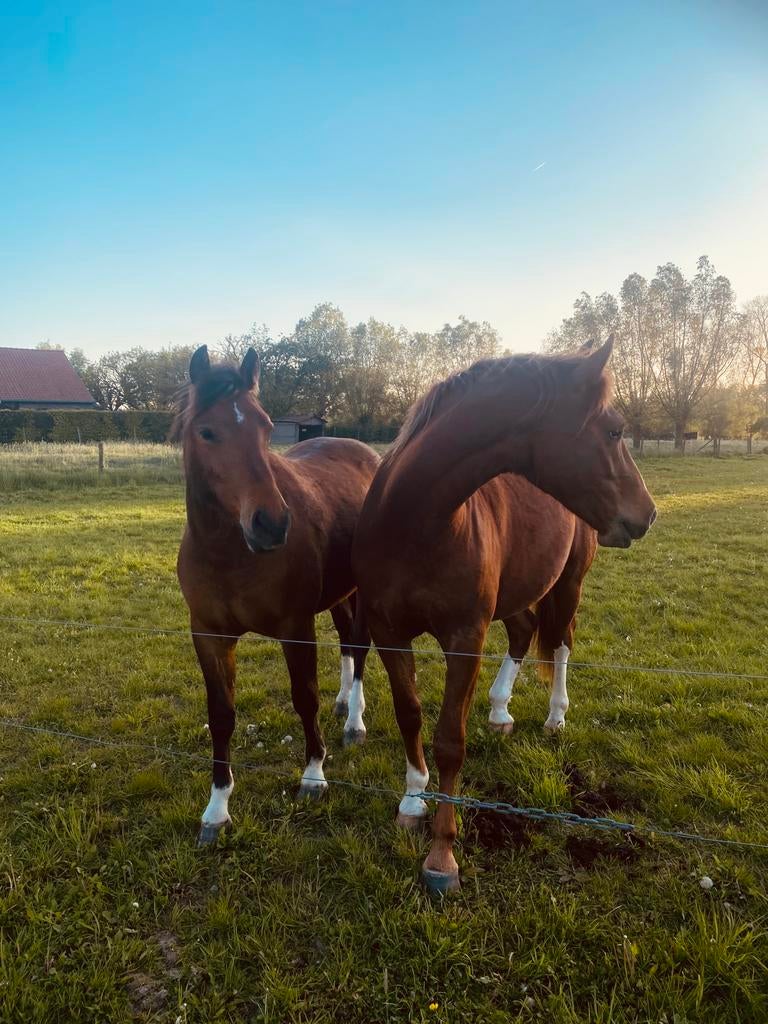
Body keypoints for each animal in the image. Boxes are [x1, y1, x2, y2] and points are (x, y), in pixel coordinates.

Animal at [174, 346, 379, 845]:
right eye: (207, 431)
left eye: (266, 427)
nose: (270, 523)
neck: (228, 554)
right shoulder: (208, 635)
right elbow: (221, 714)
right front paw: (216, 809)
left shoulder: (295, 628)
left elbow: (304, 698)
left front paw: (314, 777)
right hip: (340, 594)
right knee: (348, 644)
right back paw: (343, 703)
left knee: (361, 647)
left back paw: (354, 722)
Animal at [352, 338, 656, 891]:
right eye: (614, 430)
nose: (647, 513)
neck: (414, 521)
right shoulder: (389, 633)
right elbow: (411, 716)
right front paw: (412, 800)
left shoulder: (465, 637)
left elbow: (450, 740)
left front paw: (442, 856)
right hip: (517, 593)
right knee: (525, 630)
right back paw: (499, 711)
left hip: (569, 584)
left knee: (561, 642)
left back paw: (555, 716)